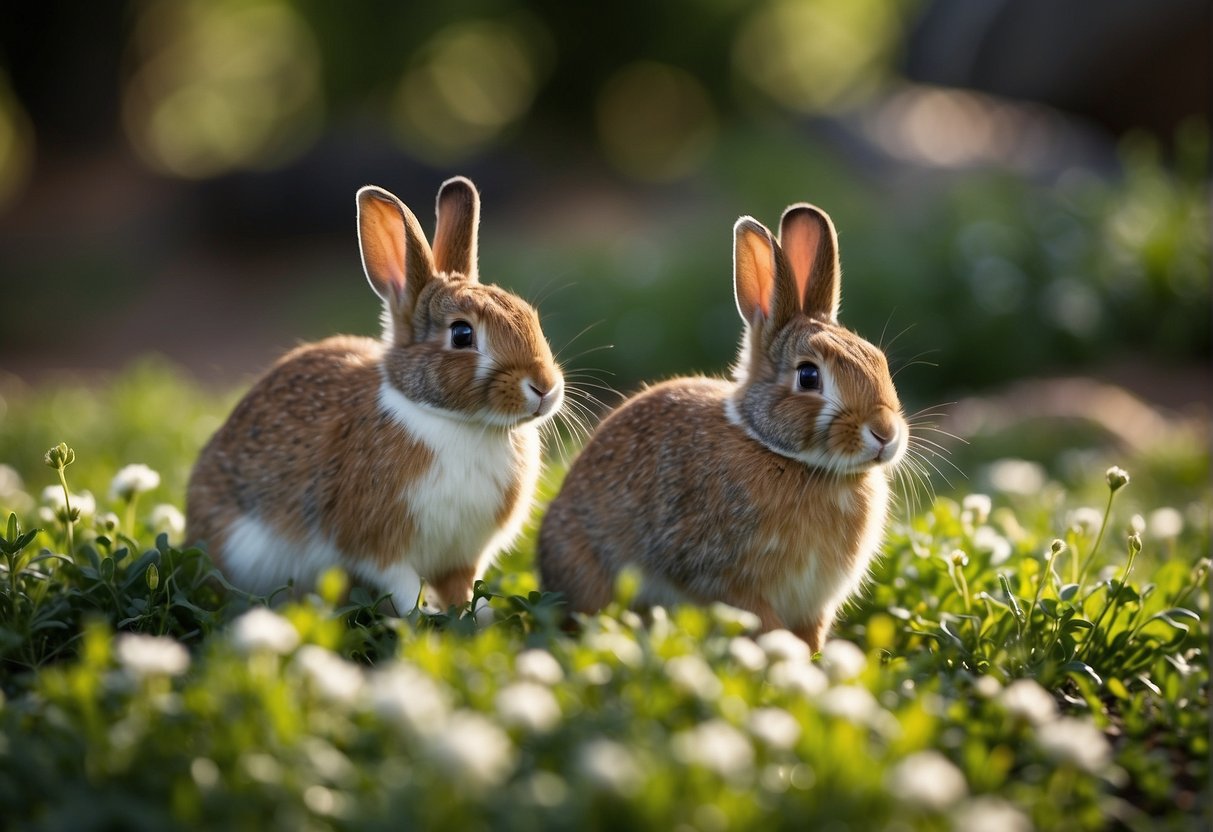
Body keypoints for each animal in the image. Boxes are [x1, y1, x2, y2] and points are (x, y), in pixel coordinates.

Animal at [186, 177, 565, 613]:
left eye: (530, 316)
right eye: (462, 334)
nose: (545, 387)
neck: (456, 421)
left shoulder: (461, 556)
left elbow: (463, 591)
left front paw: (479, 617)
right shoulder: (379, 548)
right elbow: (403, 587)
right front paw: (424, 621)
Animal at [536, 200, 907, 650]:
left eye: (879, 361)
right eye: (808, 377)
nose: (886, 434)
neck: (786, 456)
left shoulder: (813, 605)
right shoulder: (723, 580)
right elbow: (766, 625)